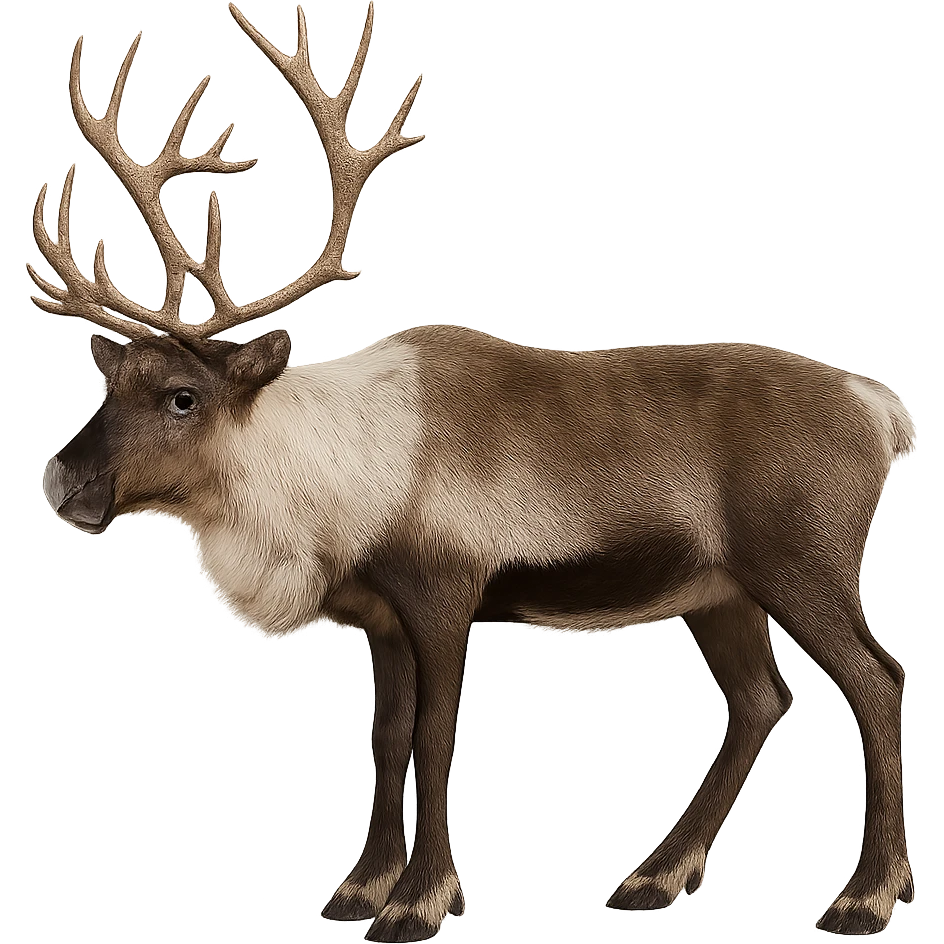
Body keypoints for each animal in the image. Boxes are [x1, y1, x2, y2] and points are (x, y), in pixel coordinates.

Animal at [31, 5, 917, 943]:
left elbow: (430, 739)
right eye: (107, 384)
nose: (64, 482)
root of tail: (881, 411)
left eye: (182, 396)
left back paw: (864, 896)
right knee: (759, 701)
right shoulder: (379, 620)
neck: (328, 488)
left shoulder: (444, 590)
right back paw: (653, 876)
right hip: (718, 591)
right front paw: (358, 891)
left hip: (801, 562)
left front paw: (420, 902)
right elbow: (384, 742)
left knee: (877, 682)